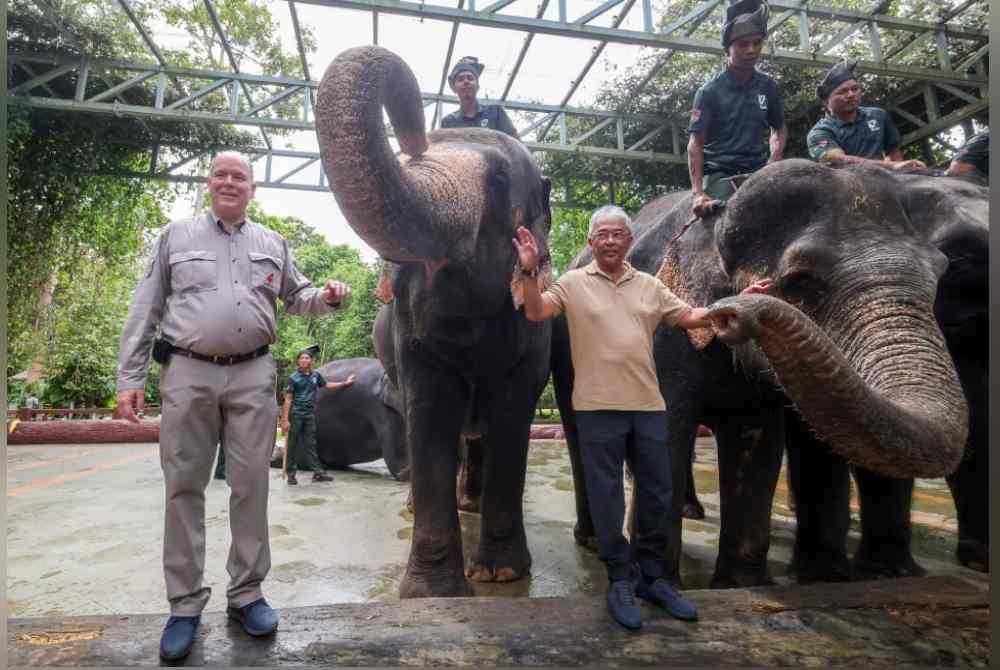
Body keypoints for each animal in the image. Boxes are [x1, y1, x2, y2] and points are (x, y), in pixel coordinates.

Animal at [318, 47, 556, 600]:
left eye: (497, 183)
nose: (409, 136)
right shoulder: (410, 336)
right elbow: (429, 408)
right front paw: (434, 594)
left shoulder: (534, 339)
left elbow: (512, 411)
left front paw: (501, 575)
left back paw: (473, 505)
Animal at [552, 160, 972, 592]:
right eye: (801, 281)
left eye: (940, 272)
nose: (733, 313)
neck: (719, 214)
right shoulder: (662, 339)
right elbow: (666, 432)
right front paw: (657, 585)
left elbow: (757, 440)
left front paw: (740, 586)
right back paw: (592, 540)